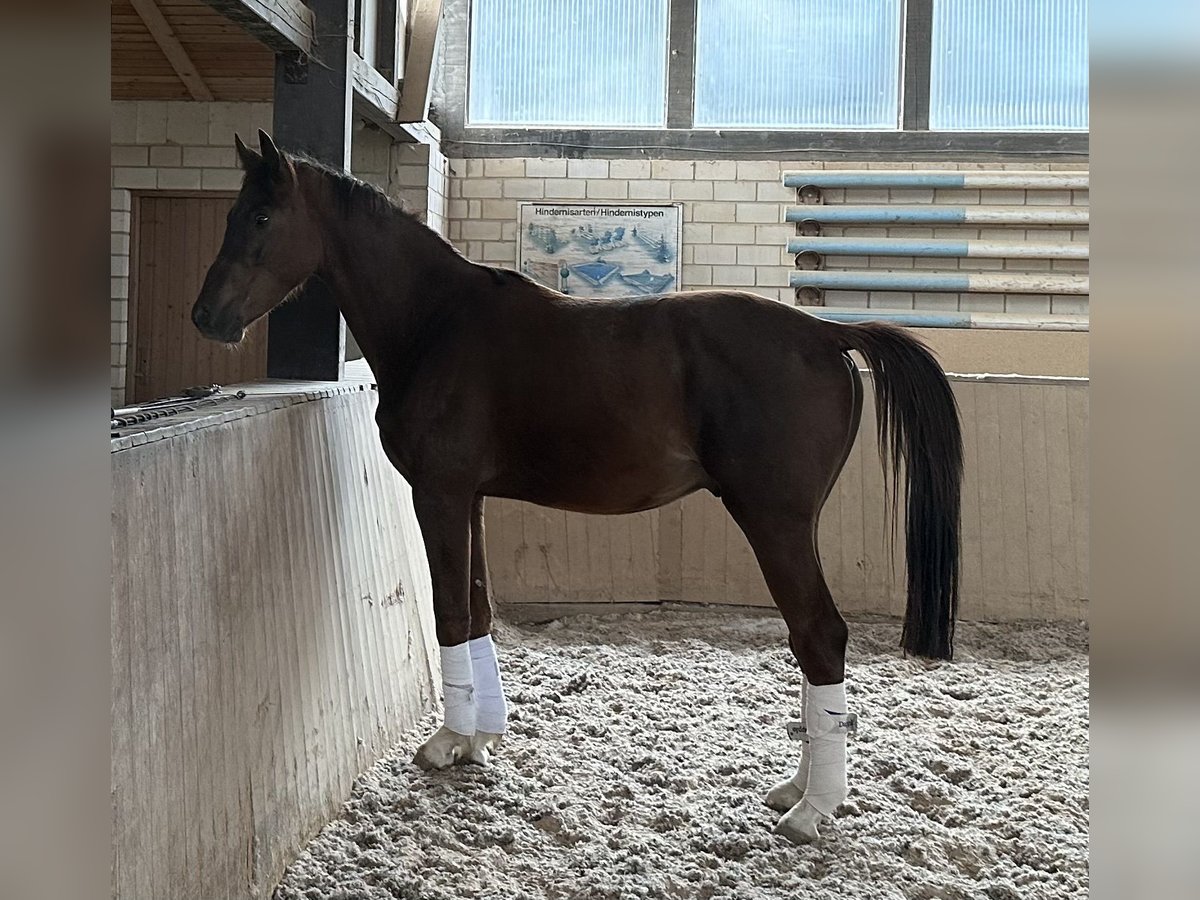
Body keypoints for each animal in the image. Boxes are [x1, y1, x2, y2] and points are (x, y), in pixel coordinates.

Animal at [192, 133, 960, 844]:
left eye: (261, 216)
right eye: (231, 213)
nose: (205, 317)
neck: (437, 321)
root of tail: (826, 334)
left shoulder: (438, 495)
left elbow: (450, 613)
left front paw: (448, 743)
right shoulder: (469, 499)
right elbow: (478, 611)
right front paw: (480, 737)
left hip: (775, 521)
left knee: (820, 635)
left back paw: (812, 808)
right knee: (811, 641)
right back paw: (797, 789)